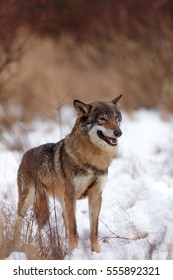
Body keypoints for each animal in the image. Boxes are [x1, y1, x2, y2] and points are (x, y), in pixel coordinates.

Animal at [13, 95, 122, 253]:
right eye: (102, 119)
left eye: (116, 118)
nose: (118, 132)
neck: (93, 160)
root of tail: (25, 154)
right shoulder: (71, 196)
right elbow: (74, 229)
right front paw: (74, 252)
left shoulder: (95, 196)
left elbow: (93, 230)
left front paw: (96, 251)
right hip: (28, 200)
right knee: (18, 222)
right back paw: (15, 245)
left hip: (61, 200)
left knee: (64, 218)